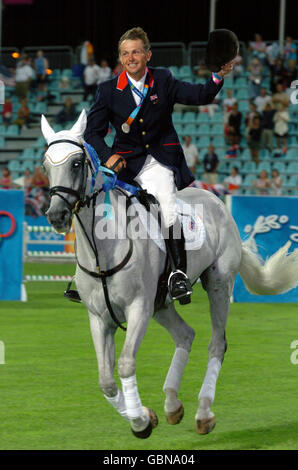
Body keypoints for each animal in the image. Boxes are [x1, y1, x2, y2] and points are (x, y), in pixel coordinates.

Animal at [40, 110, 298, 436]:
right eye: (45, 165)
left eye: (76, 163)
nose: (56, 215)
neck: (103, 249)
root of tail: (215, 200)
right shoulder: (99, 318)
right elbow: (106, 381)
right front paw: (145, 415)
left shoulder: (138, 308)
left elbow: (125, 364)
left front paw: (140, 422)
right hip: (161, 305)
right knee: (186, 335)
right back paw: (173, 404)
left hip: (217, 285)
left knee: (217, 344)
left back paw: (203, 412)